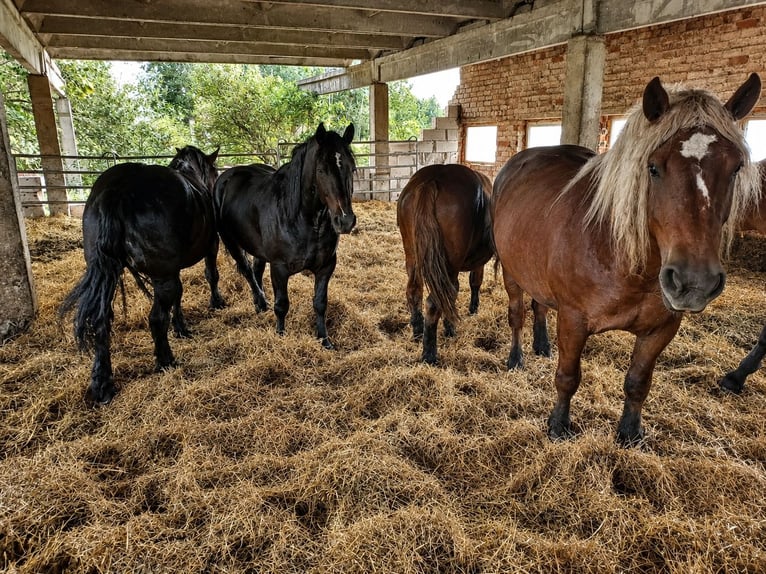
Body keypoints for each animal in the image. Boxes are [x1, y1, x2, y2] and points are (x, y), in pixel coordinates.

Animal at [60, 146, 224, 405]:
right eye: (214, 171)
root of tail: (117, 188)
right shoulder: (210, 246)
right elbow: (211, 275)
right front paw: (215, 303)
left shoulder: (174, 268)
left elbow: (179, 297)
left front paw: (181, 328)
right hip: (163, 276)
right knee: (156, 318)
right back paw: (165, 360)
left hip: (112, 272)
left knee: (101, 321)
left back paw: (102, 384)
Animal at [212, 122, 356, 349]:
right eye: (321, 170)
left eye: (352, 168)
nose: (345, 220)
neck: (302, 219)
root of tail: (228, 175)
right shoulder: (279, 269)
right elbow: (282, 305)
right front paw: (280, 336)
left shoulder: (326, 267)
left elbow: (320, 304)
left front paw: (324, 340)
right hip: (231, 242)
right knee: (247, 271)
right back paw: (261, 302)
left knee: (256, 270)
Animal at [396, 164, 494, 364]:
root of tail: (431, 180)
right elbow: (474, 282)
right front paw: (472, 309)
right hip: (448, 265)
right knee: (434, 301)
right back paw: (429, 354)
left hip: (414, 256)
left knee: (414, 291)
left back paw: (417, 332)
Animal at [492, 73, 761, 445]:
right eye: (653, 168)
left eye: (735, 167)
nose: (694, 283)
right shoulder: (573, 320)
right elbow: (567, 377)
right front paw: (558, 425)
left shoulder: (662, 329)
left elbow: (637, 382)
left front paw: (630, 432)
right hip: (512, 274)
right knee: (518, 314)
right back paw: (516, 358)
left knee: (541, 306)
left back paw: (542, 346)